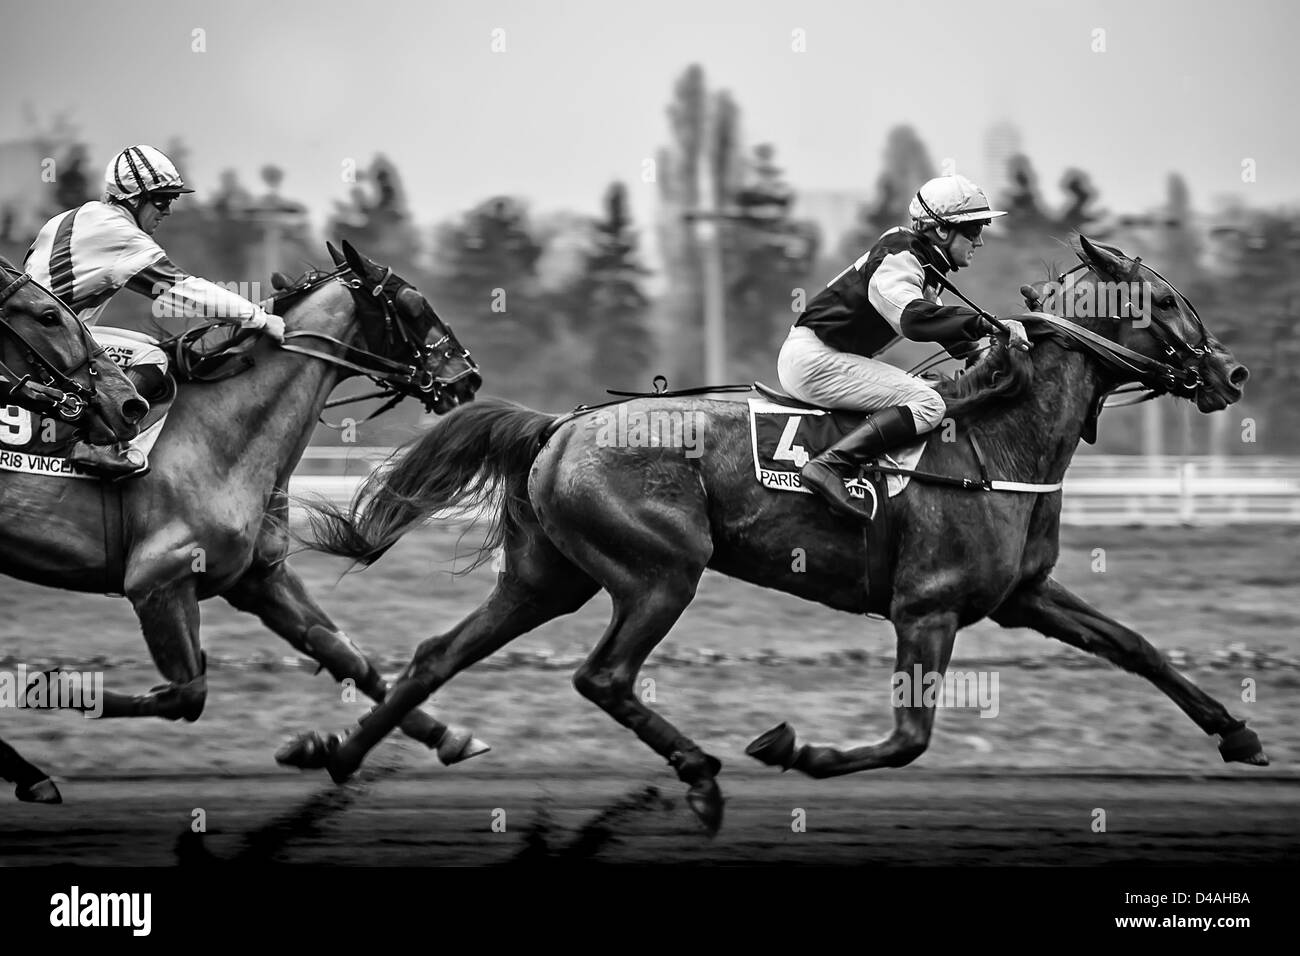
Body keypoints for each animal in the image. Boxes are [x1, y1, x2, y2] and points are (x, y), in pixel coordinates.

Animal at [0, 240, 483, 804]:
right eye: (412, 305)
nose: (467, 377)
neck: (224, 431)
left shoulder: (256, 577)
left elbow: (345, 654)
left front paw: (437, 737)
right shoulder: (158, 583)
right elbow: (188, 694)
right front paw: (54, 685)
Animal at [297, 235, 1263, 833]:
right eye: (1166, 298)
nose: (1232, 373)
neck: (999, 433)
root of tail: (558, 427)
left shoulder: (1022, 595)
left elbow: (1136, 646)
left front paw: (1238, 735)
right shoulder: (928, 608)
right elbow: (908, 740)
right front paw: (793, 747)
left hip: (547, 578)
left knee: (438, 655)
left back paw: (340, 754)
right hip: (661, 573)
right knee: (603, 675)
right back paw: (699, 773)